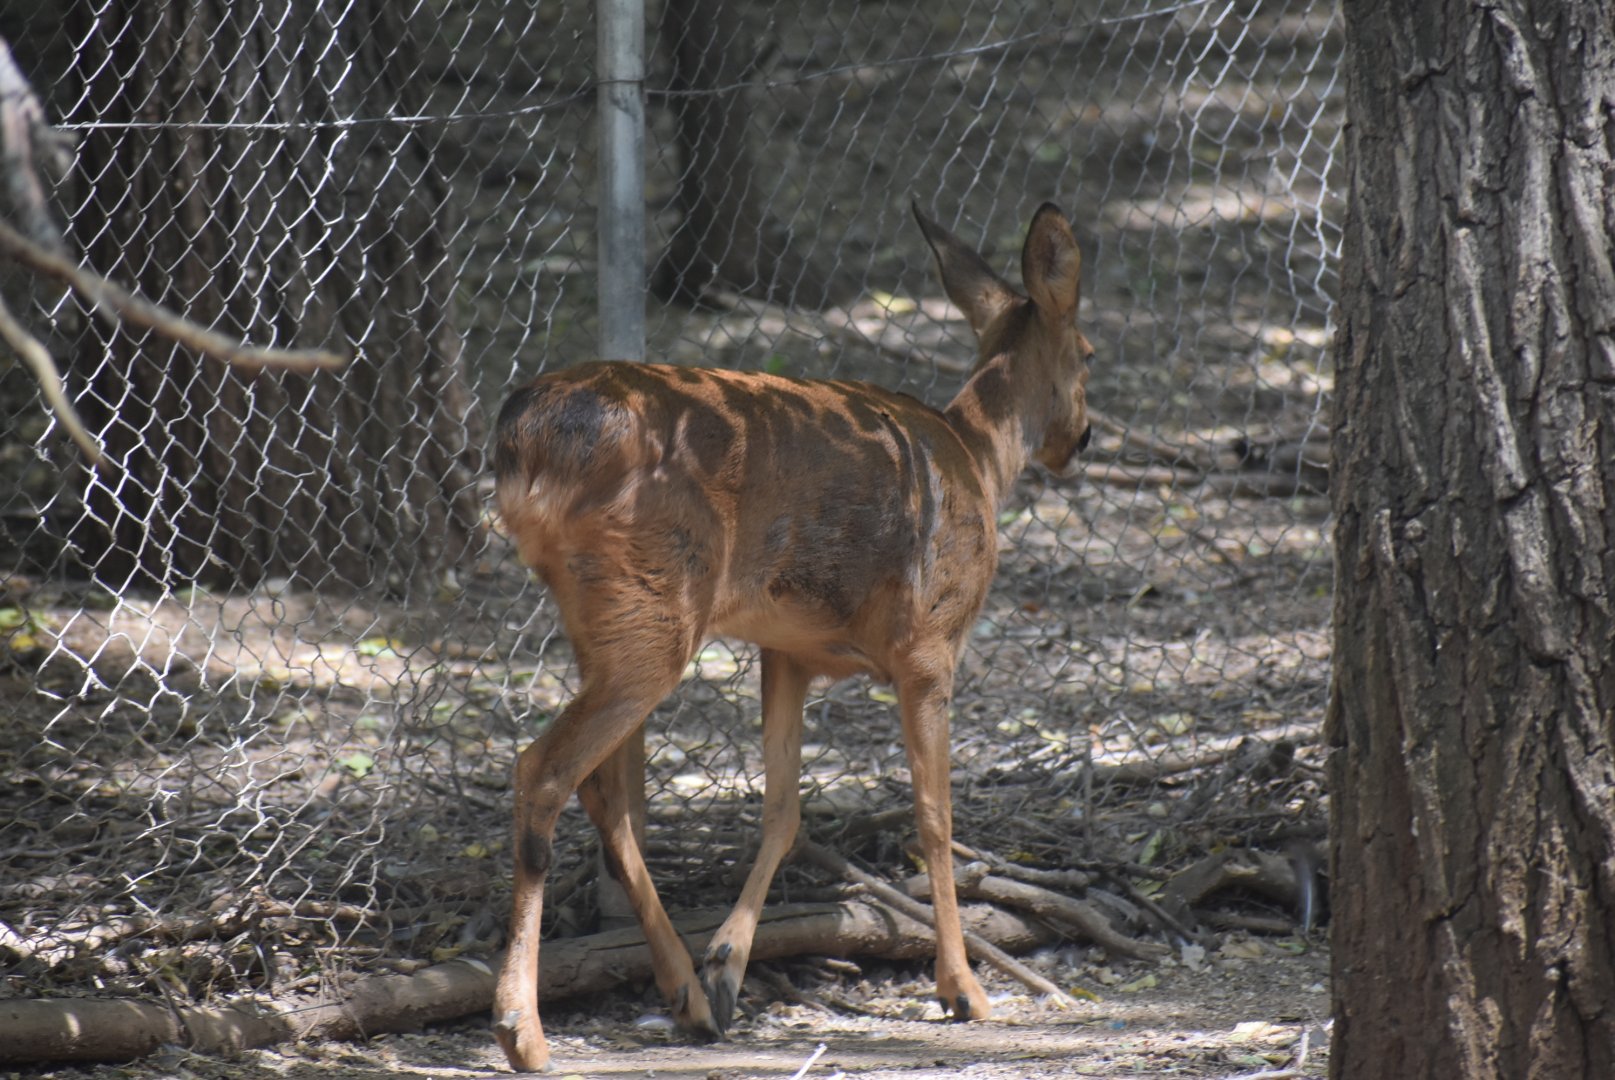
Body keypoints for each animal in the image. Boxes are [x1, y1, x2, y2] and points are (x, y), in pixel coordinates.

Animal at [489, 201, 1094, 1072]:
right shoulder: (929, 645)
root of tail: (521, 439)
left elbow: (782, 811)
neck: (978, 459)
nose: (1079, 440)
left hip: (602, 617)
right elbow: (934, 815)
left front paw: (727, 967)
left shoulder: (787, 650)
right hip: (652, 608)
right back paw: (524, 1030)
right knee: (542, 769)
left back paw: (685, 993)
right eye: (1089, 351)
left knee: (605, 794)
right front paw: (963, 990)